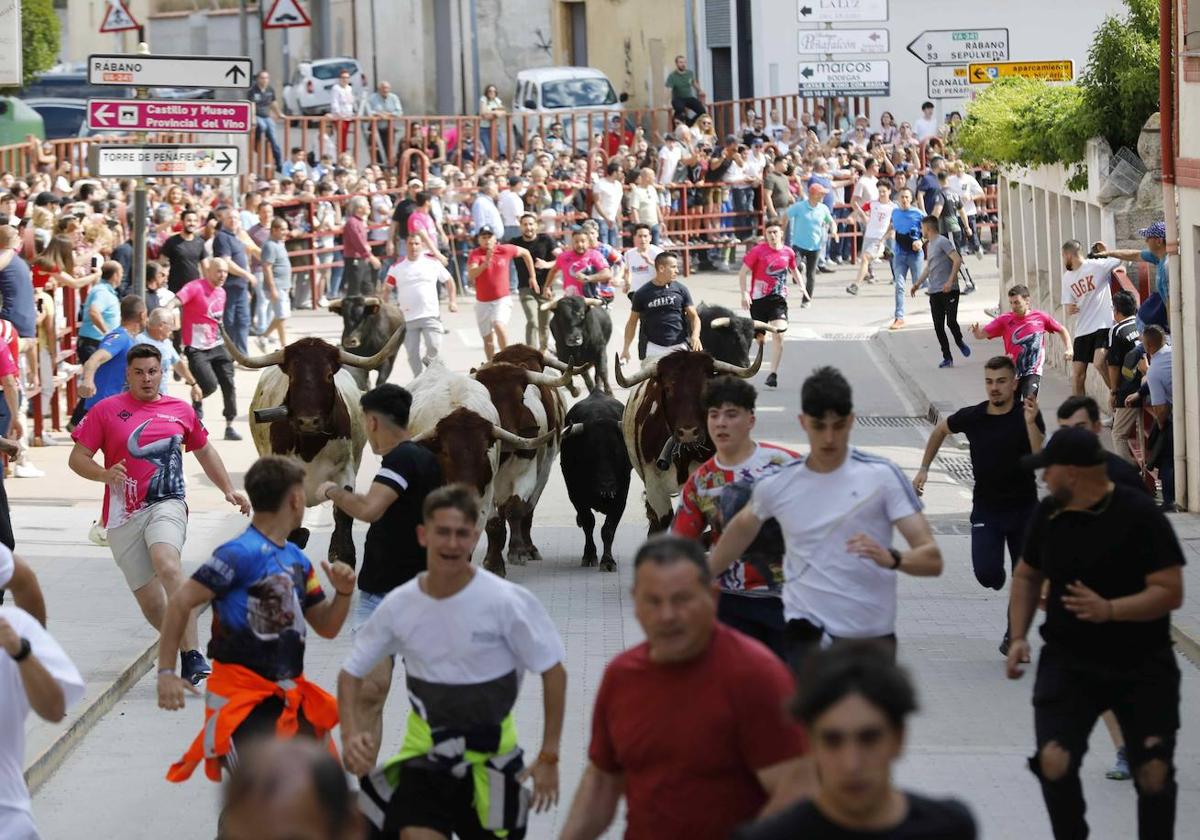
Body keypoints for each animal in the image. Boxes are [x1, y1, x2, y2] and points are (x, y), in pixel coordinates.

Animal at [218, 331, 400, 568]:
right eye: (292, 376)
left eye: (329, 375)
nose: (308, 421)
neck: (310, 447)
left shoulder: (344, 471)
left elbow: (343, 520)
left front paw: (340, 553)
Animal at [472, 355, 571, 578]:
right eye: (488, 400)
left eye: (520, 399)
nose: (508, 441)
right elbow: (493, 523)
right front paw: (493, 561)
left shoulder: (527, 474)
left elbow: (517, 510)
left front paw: (517, 551)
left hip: (544, 469)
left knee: (527, 511)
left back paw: (529, 547)